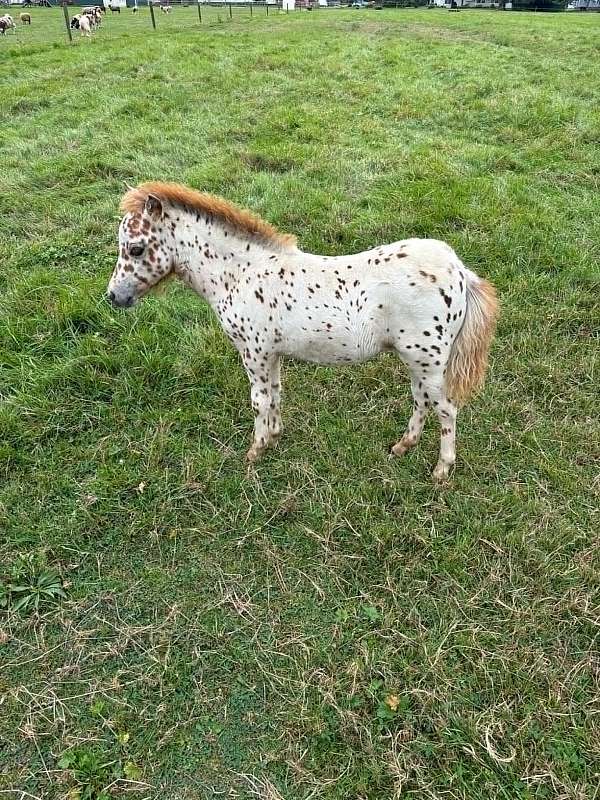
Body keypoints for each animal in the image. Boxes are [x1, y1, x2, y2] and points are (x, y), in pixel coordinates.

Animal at [106, 183, 496, 482]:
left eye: (136, 248)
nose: (113, 296)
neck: (241, 274)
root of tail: (459, 270)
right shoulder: (271, 353)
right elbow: (276, 394)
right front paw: (274, 437)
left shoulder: (253, 351)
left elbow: (259, 400)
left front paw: (255, 451)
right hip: (417, 360)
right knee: (421, 401)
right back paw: (402, 446)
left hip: (427, 359)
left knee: (446, 408)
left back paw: (441, 470)